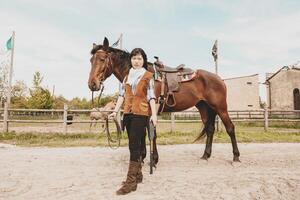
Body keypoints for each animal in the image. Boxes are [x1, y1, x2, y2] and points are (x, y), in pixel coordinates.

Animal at [88, 37, 240, 162]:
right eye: (91, 60)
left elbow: (152, 134)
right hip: (204, 107)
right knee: (210, 129)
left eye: (102, 59)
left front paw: (154, 159)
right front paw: (142, 157)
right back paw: (205, 155)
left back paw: (236, 157)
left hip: (220, 108)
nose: (92, 84)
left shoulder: (151, 110)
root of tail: (219, 79)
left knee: (230, 128)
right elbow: (143, 133)